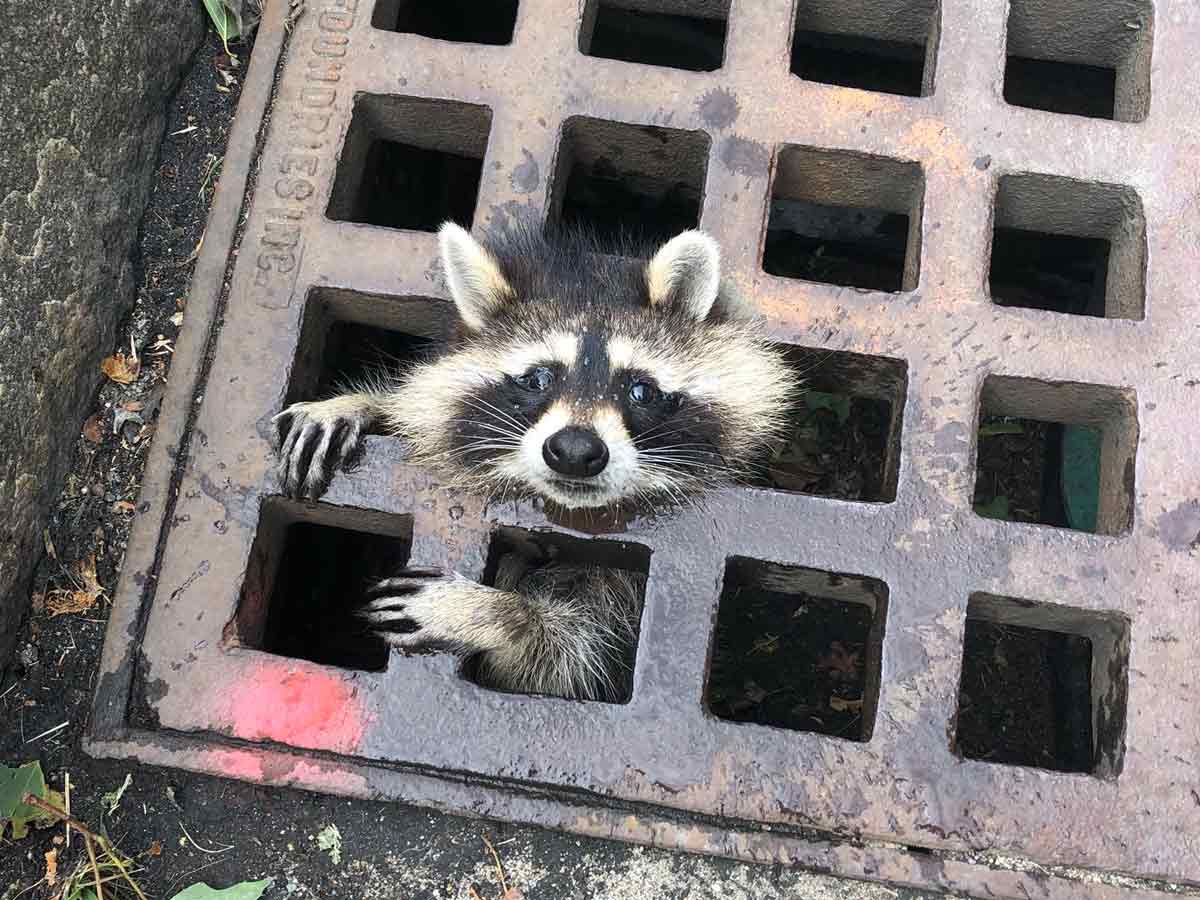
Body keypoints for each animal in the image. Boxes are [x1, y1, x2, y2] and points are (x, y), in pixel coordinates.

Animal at [272, 220, 796, 705]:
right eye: (538, 378)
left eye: (641, 389)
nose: (576, 451)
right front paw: (360, 404)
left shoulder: (619, 605)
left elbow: (567, 657)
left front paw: (496, 614)